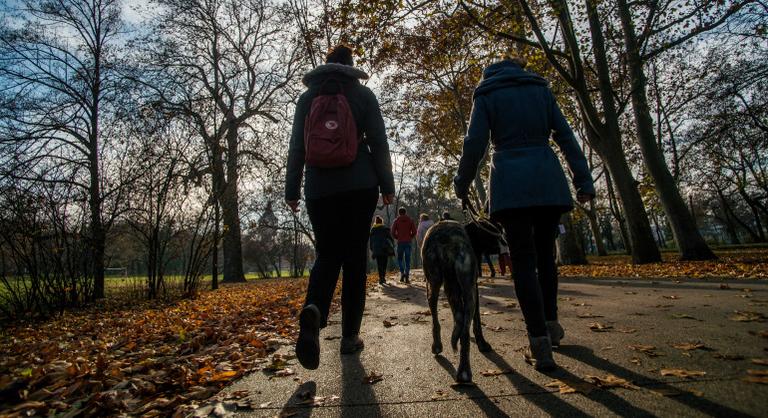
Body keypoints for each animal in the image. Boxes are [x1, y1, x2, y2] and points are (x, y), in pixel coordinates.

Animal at [420, 220, 492, 384]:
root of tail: (450, 242)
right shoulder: (473, 288)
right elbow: (476, 321)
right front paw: (481, 343)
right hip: (465, 291)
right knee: (463, 329)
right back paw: (464, 371)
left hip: (435, 285)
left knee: (439, 321)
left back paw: (439, 348)